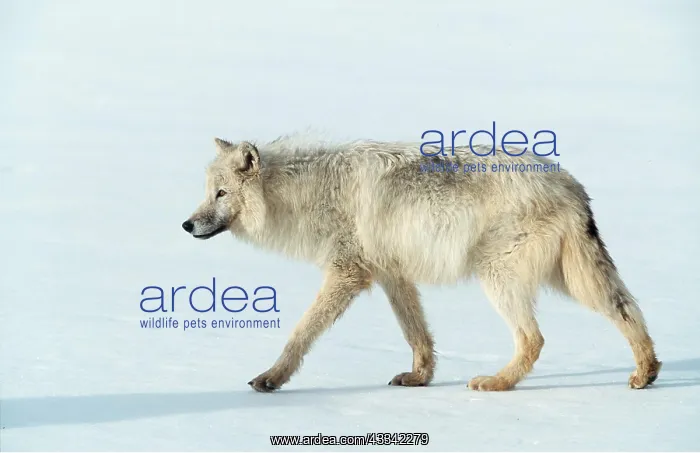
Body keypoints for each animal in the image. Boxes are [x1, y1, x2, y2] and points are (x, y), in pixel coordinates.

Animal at [182, 136, 661, 393]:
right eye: (207, 193)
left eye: (221, 194)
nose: (187, 224)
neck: (305, 194)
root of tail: (569, 184)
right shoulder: (393, 275)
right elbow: (417, 334)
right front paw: (420, 377)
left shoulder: (347, 274)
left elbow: (300, 335)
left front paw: (271, 378)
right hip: (571, 280)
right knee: (626, 309)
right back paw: (647, 373)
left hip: (500, 277)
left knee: (534, 339)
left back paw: (495, 383)